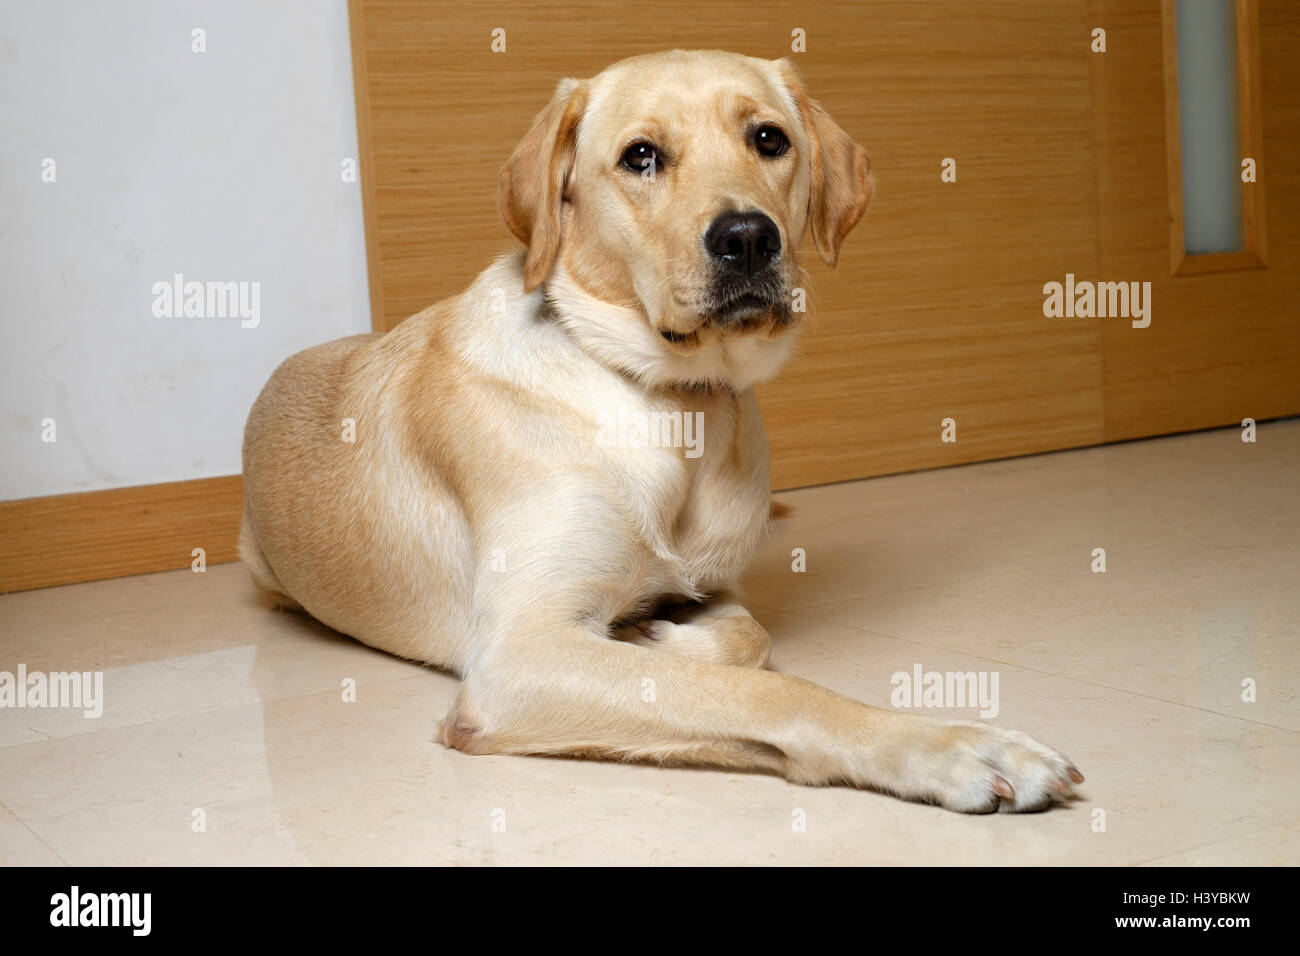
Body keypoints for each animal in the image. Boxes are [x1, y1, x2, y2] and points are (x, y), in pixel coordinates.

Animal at [239, 50, 1081, 816]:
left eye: (769, 138)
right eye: (640, 156)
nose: (748, 238)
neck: (677, 406)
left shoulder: (718, 583)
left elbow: (748, 637)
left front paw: (659, 632)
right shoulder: (517, 658)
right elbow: (766, 694)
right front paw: (953, 747)